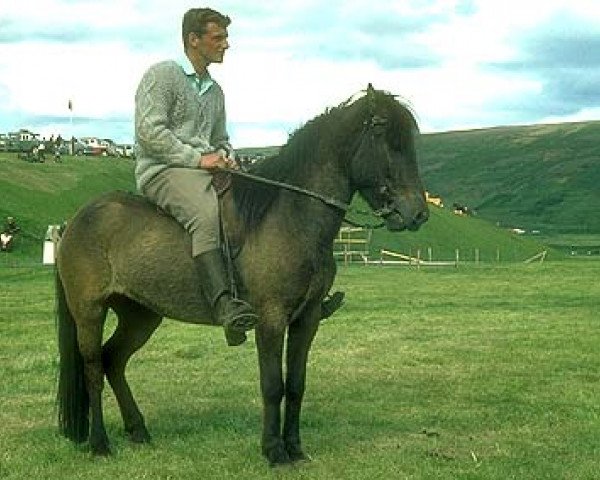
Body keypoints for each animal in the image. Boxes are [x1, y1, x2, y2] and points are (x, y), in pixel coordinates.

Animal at [56, 83, 428, 464]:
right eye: (381, 130)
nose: (416, 213)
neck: (291, 219)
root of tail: (76, 220)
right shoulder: (271, 319)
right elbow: (273, 386)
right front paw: (274, 451)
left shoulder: (306, 319)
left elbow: (296, 385)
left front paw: (295, 448)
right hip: (89, 312)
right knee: (93, 368)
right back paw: (99, 443)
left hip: (141, 315)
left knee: (113, 361)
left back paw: (138, 430)